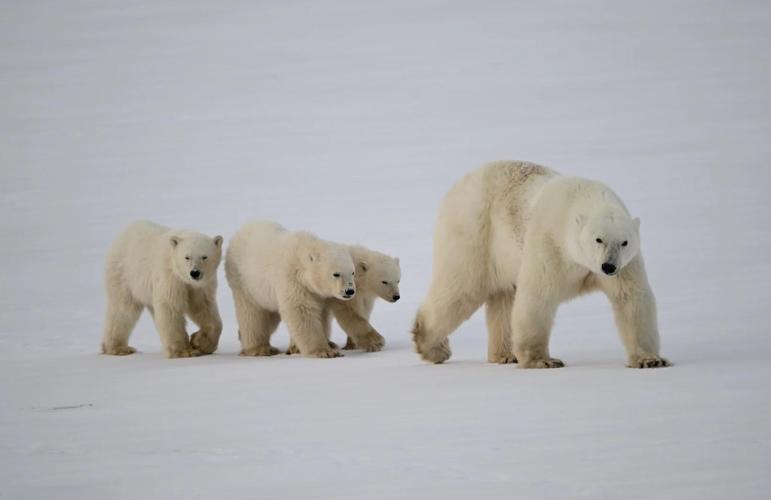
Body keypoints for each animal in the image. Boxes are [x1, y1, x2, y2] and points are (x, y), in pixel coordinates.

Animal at [101, 220, 224, 358]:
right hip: (124, 276)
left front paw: (200, 343)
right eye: (187, 257)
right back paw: (119, 348)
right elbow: (170, 307)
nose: (195, 273)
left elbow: (203, 308)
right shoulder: (170, 277)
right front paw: (184, 351)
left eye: (204, 256)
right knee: (123, 310)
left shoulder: (201, 285)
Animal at [225, 221, 356, 358]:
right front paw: (324, 351)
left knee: (270, 316)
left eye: (352, 272)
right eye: (336, 274)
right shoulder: (292, 280)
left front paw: (299, 348)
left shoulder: (319, 293)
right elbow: (300, 310)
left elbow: (321, 314)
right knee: (251, 313)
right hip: (244, 281)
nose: (349, 291)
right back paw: (260, 349)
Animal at [412, 160, 669, 369]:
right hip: (475, 230)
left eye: (624, 242)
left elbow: (631, 297)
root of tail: (459, 184)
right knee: (462, 287)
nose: (608, 266)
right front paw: (543, 361)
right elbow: (538, 294)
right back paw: (433, 347)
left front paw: (650, 359)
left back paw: (504, 354)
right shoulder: (549, 241)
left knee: (502, 297)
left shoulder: (628, 263)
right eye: (598, 239)